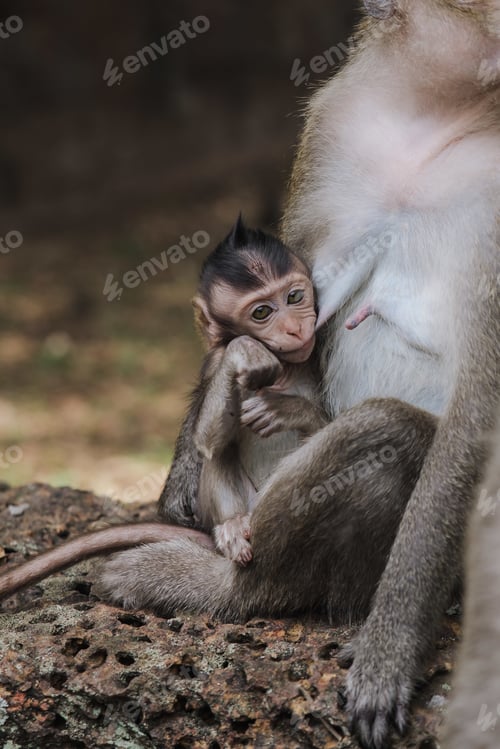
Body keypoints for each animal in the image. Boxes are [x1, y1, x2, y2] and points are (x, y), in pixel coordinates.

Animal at [96, 3, 500, 748]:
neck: (440, 112)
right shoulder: (338, 122)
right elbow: (285, 301)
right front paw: (184, 474)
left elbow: (475, 408)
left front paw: (389, 650)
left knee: (388, 432)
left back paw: (230, 591)